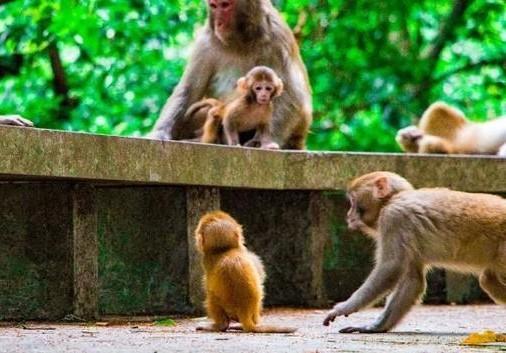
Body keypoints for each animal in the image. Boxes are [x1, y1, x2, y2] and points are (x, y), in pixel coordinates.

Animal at [147, 0, 312, 148]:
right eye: (214, 6)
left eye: (225, 5)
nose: (219, 23)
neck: (241, 41)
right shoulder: (205, 42)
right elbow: (188, 90)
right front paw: (159, 133)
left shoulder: (278, 39)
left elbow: (292, 97)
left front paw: (263, 141)